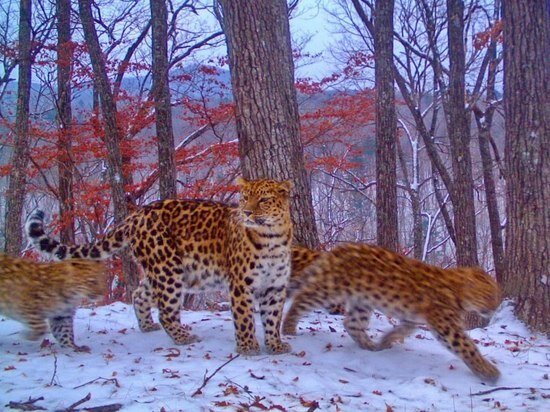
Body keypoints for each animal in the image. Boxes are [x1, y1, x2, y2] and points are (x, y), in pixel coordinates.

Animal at [26, 177, 296, 354]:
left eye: (263, 200)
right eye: (245, 198)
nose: (247, 213)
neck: (272, 237)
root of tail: (136, 214)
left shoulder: (275, 286)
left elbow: (273, 317)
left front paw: (275, 345)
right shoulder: (241, 284)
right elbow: (244, 317)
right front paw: (248, 347)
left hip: (164, 269)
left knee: (139, 293)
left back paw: (147, 326)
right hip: (168, 268)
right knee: (166, 310)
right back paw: (184, 337)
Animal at [284, 243, 504, 382]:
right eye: (489, 295)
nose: (496, 307)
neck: (457, 289)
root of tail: (335, 250)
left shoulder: (412, 318)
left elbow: (404, 330)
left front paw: (386, 340)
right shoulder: (447, 327)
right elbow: (468, 347)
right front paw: (489, 372)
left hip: (362, 301)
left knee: (351, 324)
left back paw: (370, 346)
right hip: (330, 289)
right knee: (301, 298)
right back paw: (288, 327)